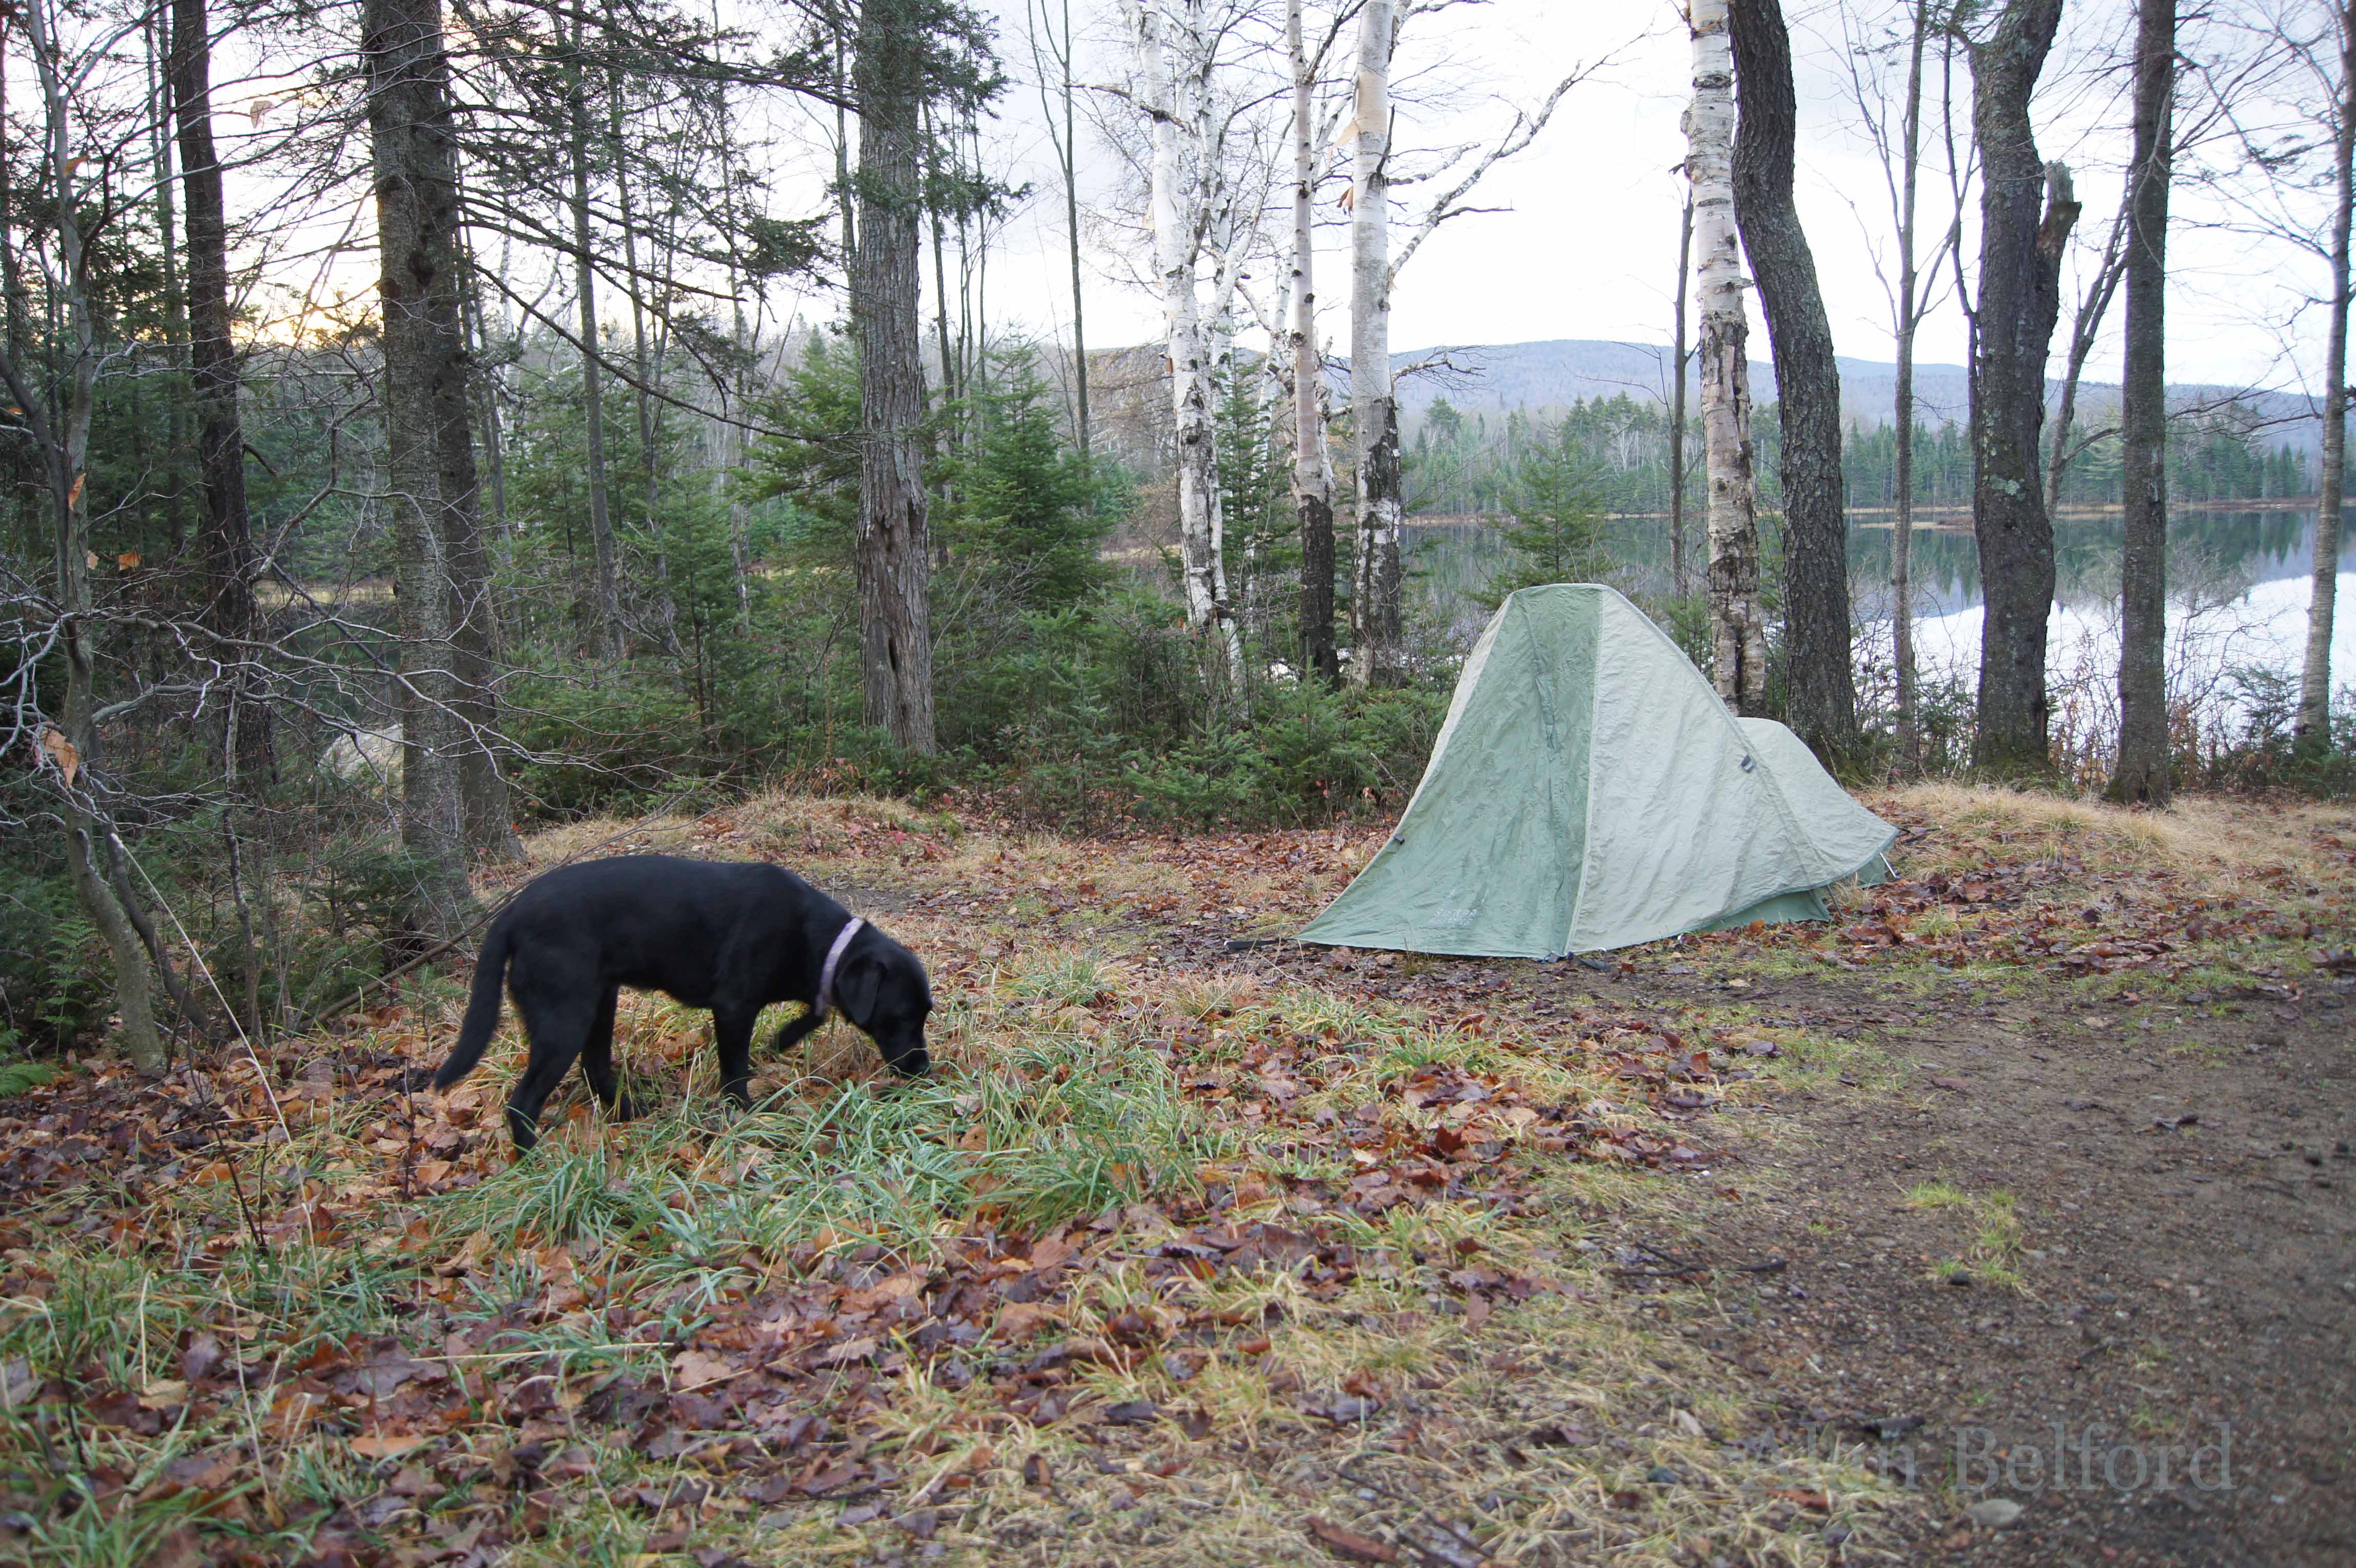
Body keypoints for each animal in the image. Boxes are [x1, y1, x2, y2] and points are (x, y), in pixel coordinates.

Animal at [433, 857, 928, 1149]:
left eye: (926, 1014)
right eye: (903, 1016)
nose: (924, 1069)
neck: (817, 940)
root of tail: (511, 912)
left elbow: (813, 1014)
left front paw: (785, 1038)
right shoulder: (733, 1007)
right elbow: (736, 1071)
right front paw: (747, 1113)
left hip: (600, 1002)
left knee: (594, 1067)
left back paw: (629, 1115)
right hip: (565, 1018)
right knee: (522, 1102)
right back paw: (536, 1163)